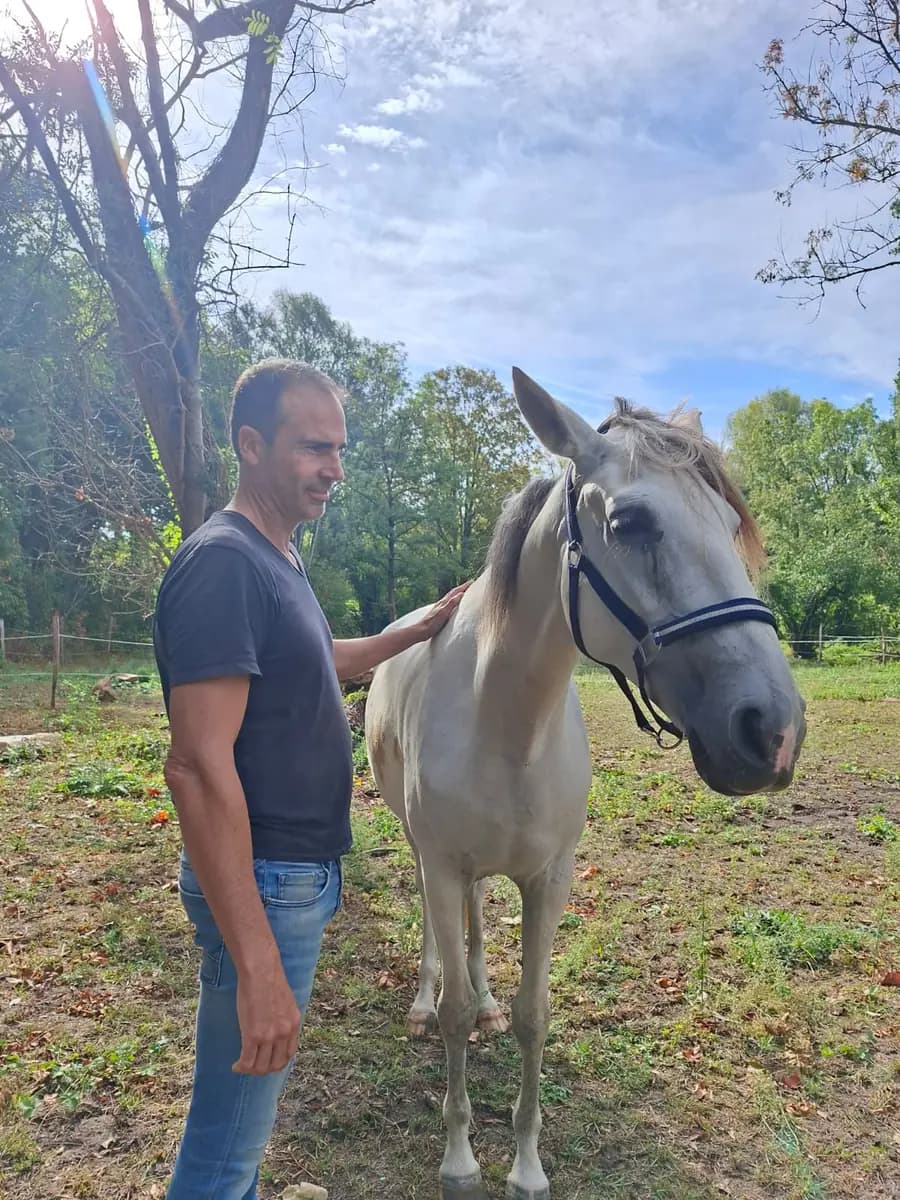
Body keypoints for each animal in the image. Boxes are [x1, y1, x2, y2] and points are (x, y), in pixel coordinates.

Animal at [364, 369, 806, 1200]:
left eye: (730, 525)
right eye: (631, 522)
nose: (774, 729)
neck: (507, 718)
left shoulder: (550, 877)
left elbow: (534, 1015)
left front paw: (527, 1165)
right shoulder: (442, 864)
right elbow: (454, 1017)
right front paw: (460, 1157)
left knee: (478, 930)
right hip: (422, 853)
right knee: (437, 939)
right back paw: (421, 999)